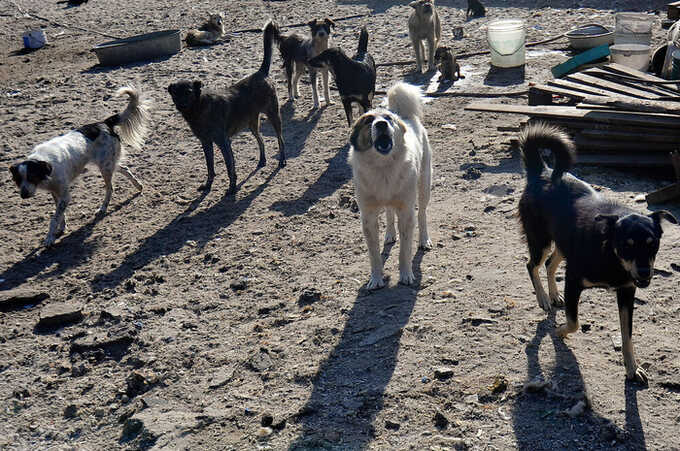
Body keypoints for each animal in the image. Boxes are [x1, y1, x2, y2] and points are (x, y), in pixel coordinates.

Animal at [9, 86, 150, 249]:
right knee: (125, 169)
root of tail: (103, 123)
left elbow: (54, 218)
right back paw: (138, 186)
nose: (23, 195)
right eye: (18, 180)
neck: (45, 165)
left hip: (105, 167)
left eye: (31, 176)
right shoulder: (56, 194)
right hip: (107, 163)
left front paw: (50, 238)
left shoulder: (65, 195)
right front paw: (61, 228)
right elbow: (60, 214)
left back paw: (103, 208)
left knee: (110, 188)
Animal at [171, 20, 288, 194]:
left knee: (281, 139)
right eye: (175, 94)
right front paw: (208, 185)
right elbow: (210, 167)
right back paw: (262, 161)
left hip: (274, 115)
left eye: (189, 92)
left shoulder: (223, 143)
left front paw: (232, 188)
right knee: (261, 140)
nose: (182, 105)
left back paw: (282, 160)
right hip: (252, 124)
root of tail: (261, 72)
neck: (200, 108)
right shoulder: (206, 143)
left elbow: (229, 167)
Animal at [348, 83, 432, 292]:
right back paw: (390, 234)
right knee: (388, 212)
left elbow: (405, 250)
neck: (383, 167)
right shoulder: (368, 217)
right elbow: (374, 255)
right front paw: (376, 279)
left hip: (424, 186)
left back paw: (424, 240)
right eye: (369, 120)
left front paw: (406, 275)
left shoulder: (406, 212)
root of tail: (405, 115)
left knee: (422, 214)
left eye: (388, 119)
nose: (381, 124)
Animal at [520, 122, 676, 384]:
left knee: (550, 264)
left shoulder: (626, 292)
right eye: (626, 244)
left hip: (563, 243)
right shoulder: (574, 281)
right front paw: (559, 331)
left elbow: (627, 336)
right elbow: (573, 322)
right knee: (532, 265)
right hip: (541, 241)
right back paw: (543, 298)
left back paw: (553, 295)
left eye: (652, 243)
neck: (611, 256)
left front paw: (632, 368)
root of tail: (541, 171)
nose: (645, 273)